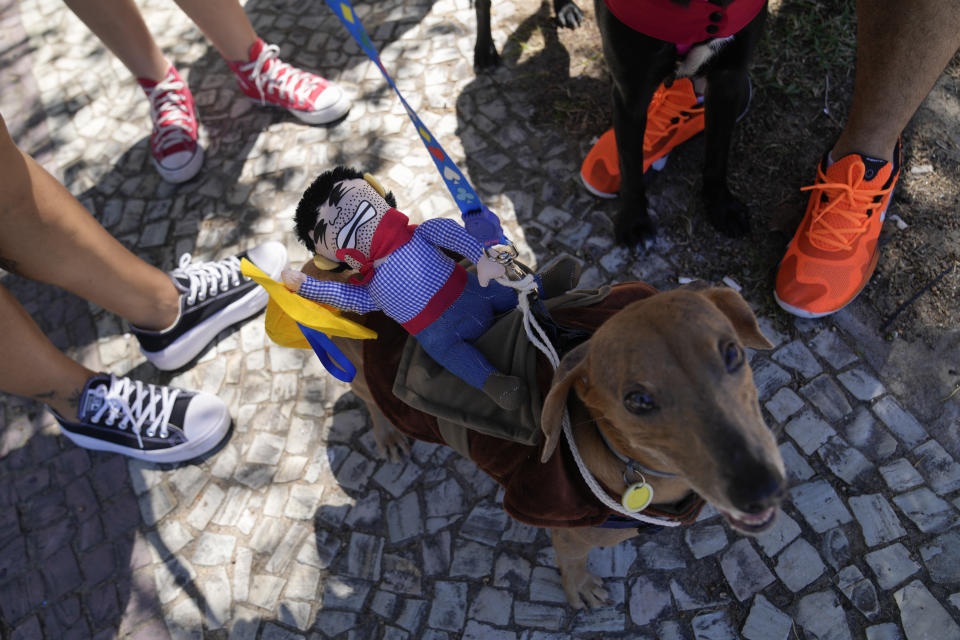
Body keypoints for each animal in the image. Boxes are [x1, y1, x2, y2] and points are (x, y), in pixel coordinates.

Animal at [596, 0, 768, 248]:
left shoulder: (728, 79)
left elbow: (717, 155)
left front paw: (721, 206)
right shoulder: (631, 95)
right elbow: (630, 165)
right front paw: (633, 220)